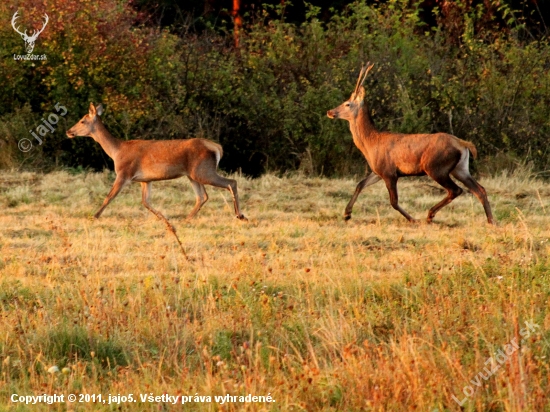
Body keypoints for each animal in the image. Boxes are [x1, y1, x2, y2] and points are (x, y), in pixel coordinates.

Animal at [67, 103, 248, 225]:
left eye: (82, 120)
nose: (69, 131)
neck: (116, 151)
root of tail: (217, 148)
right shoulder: (145, 180)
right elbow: (145, 202)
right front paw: (163, 217)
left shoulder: (124, 172)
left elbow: (109, 196)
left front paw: (94, 216)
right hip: (193, 174)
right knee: (202, 196)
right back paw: (186, 219)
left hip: (203, 170)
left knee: (231, 182)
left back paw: (240, 215)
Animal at [328, 63, 496, 225]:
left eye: (347, 104)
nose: (330, 112)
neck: (370, 144)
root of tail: (463, 144)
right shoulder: (377, 171)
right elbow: (360, 184)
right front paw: (347, 214)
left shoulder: (389, 173)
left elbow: (394, 202)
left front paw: (413, 219)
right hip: (460, 168)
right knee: (479, 189)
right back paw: (491, 220)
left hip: (436, 167)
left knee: (456, 190)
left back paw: (430, 215)